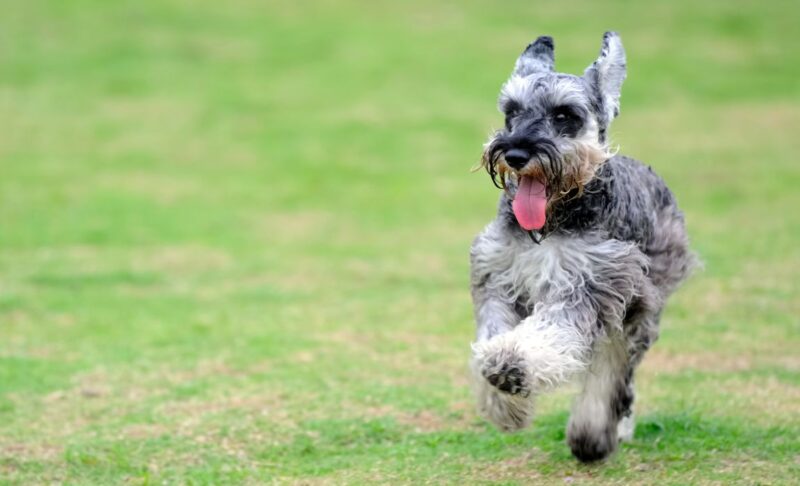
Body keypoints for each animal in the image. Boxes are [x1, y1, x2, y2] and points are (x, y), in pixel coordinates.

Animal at [468, 32, 692, 462]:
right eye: (511, 111)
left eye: (564, 115)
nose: (515, 153)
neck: (551, 223)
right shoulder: (499, 279)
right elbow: (492, 332)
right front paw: (503, 400)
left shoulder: (590, 285)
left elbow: (551, 332)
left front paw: (513, 364)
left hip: (638, 304)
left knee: (613, 366)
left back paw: (595, 433)